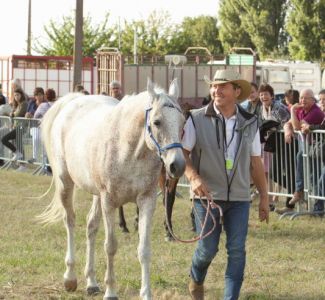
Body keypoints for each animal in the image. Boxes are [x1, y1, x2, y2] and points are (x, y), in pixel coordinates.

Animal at [37, 78, 185, 298]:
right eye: (157, 122)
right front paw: (111, 291)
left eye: (182, 122)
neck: (129, 149)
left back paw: (91, 282)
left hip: (96, 195)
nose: (178, 165)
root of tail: (72, 101)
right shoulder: (109, 202)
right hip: (66, 183)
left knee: (91, 226)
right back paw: (70, 278)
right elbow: (111, 246)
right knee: (70, 221)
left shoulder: (147, 200)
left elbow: (144, 249)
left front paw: (146, 293)